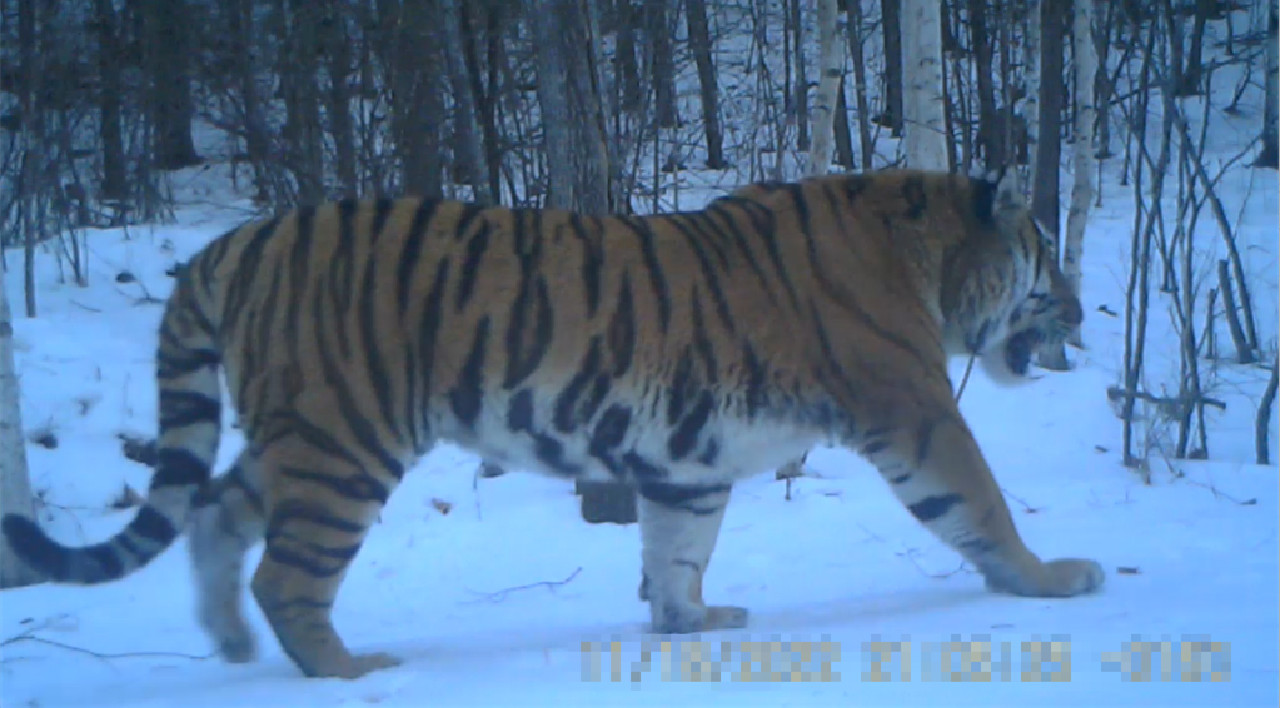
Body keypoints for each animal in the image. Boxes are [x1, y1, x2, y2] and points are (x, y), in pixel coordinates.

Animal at [0, 166, 1105, 681]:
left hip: (295, 437)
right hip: (342, 440)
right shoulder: (914, 409)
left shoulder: (690, 453)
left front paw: (691, 622)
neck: (927, 261)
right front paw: (1055, 579)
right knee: (288, 572)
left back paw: (229, 642)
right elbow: (980, 504)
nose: (1084, 308)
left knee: (215, 513)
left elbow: (676, 548)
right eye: (1045, 253)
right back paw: (348, 670)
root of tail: (232, 240)